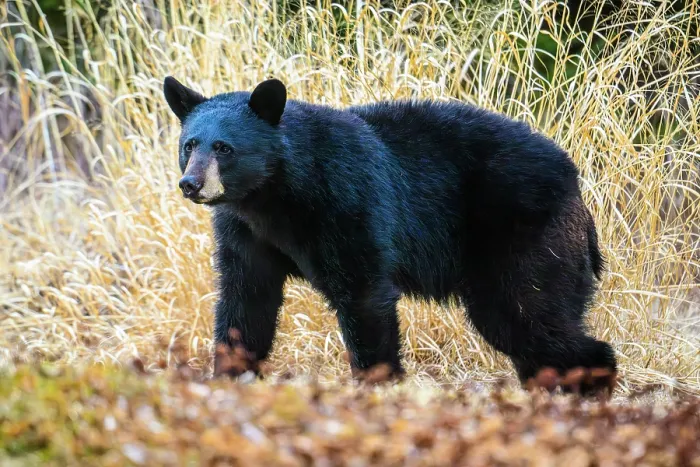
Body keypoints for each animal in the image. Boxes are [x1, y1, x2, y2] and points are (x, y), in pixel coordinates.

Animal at [163, 76, 617, 393]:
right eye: (190, 145)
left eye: (224, 148)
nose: (191, 184)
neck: (275, 195)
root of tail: (577, 186)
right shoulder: (245, 231)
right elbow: (246, 299)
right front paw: (228, 378)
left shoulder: (348, 202)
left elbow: (364, 294)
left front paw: (377, 387)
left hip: (524, 235)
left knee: (527, 310)